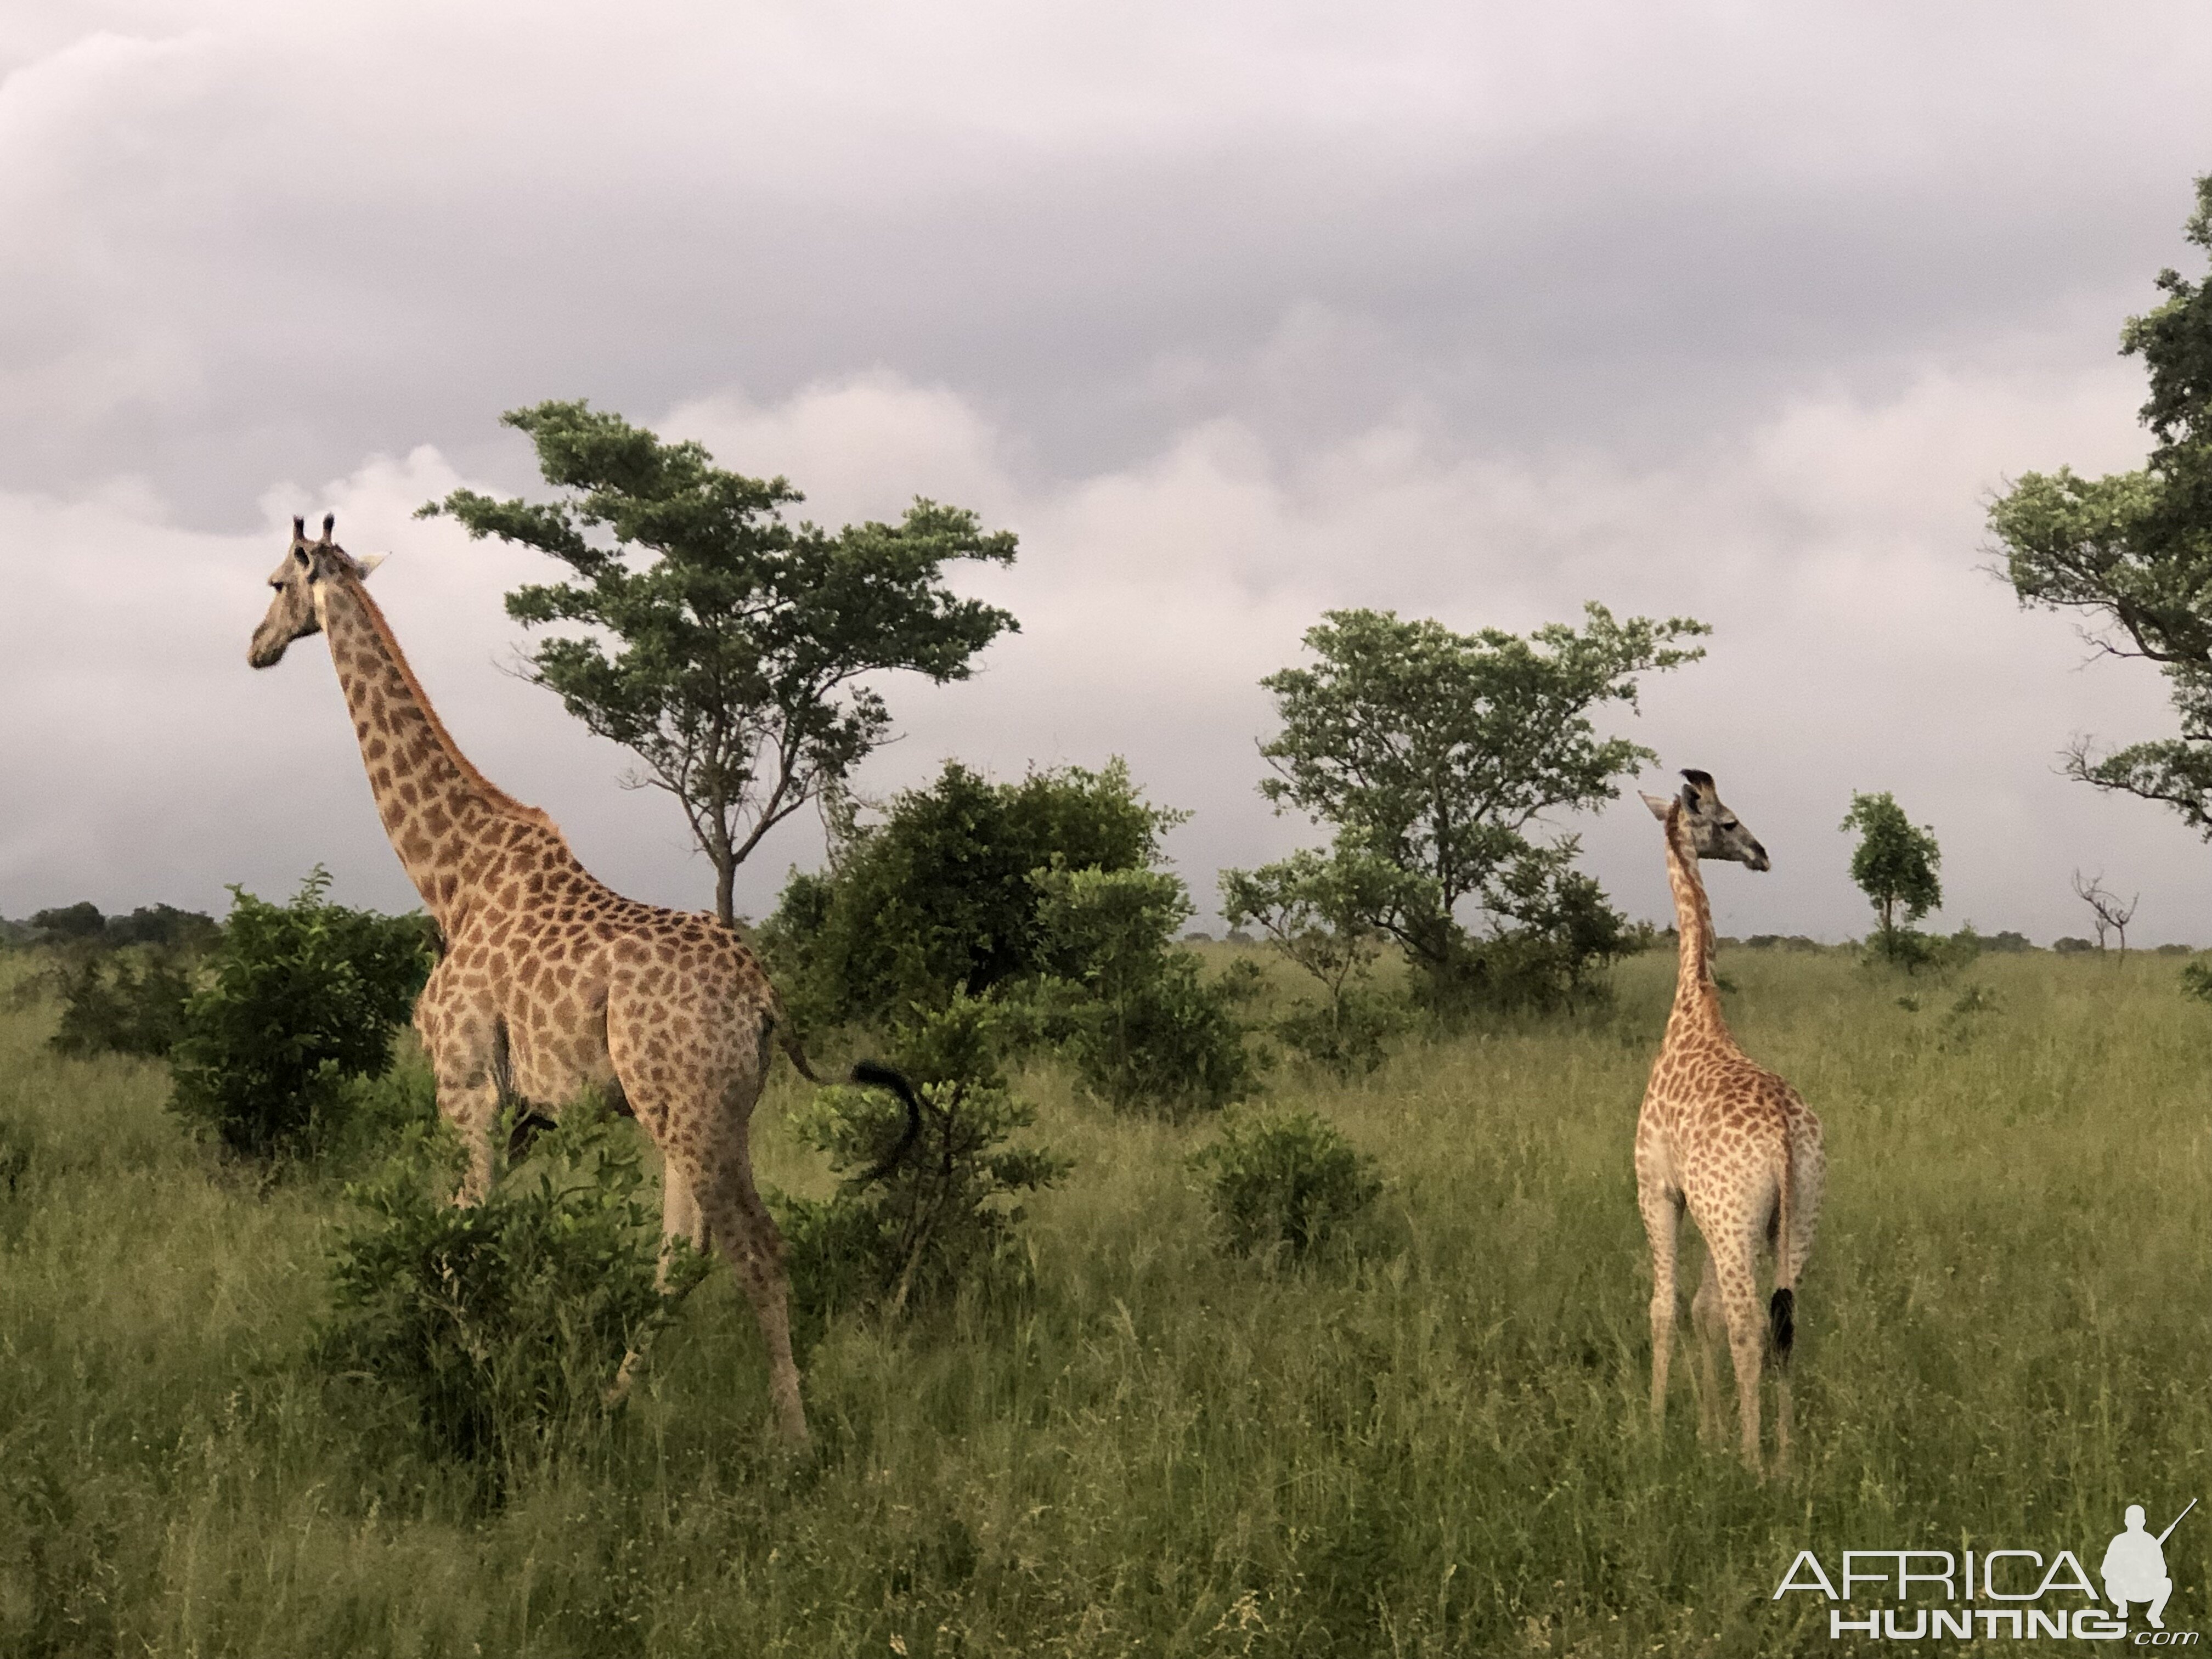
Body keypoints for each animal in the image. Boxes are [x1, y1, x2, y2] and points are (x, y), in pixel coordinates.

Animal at [251, 513, 916, 1451]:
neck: (451, 878)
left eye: (277, 582)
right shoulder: (526, 1110)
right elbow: (481, 1230)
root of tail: (766, 1000)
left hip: (685, 1109)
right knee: (688, 1251)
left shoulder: (464, 1082)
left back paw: (793, 1440)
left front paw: (475, 1381)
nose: (256, 647)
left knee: (753, 1247)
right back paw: (610, 1404)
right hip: (713, 1111)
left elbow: (460, 1235)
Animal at [1637, 774, 1822, 1477]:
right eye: (1728, 823)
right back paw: (1787, 1458)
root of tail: (1785, 1136)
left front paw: (1657, 1428)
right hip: (1794, 1218)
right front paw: (1707, 1432)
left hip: (1735, 1220)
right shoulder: (1708, 1210)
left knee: (1749, 1322)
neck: (1695, 1008)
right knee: (1785, 1323)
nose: (1761, 853)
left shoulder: (1659, 1190)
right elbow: (1700, 1310)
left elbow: (1667, 1308)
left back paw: (1753, 1463)